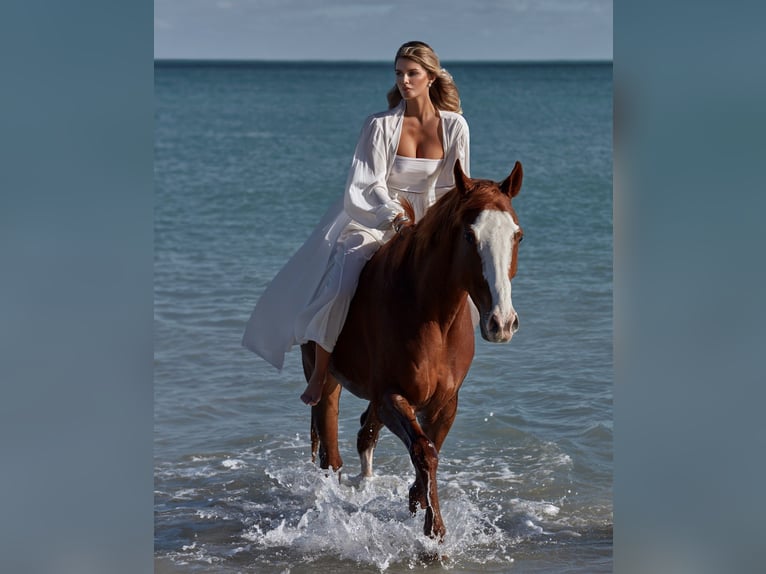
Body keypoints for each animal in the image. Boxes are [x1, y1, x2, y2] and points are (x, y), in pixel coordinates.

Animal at [300, 159, 524, 541]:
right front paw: (434, 532)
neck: (431, 316)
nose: (502, 322)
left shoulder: (444, 403)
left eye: (517, 235)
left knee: (365, 430)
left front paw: (417, 504)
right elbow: (424, 451)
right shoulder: (392, 396)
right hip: (327, 382)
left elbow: (431, 449)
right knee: (331, 452)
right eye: (469, 236)